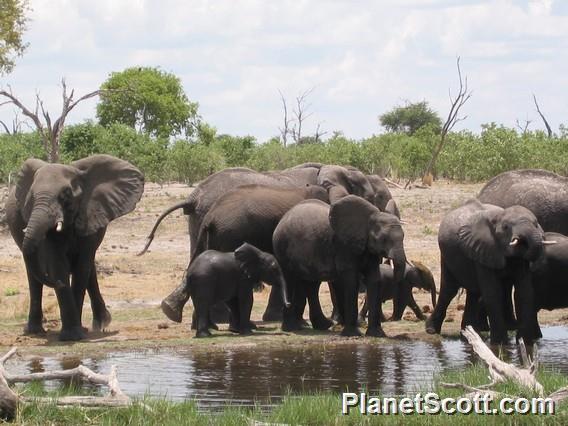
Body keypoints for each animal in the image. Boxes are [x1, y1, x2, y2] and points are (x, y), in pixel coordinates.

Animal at [4, 155, 144, 342]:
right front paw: (72, 335)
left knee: (88, 266)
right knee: (33, 278)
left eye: (65, 195)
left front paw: (75, 335)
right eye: (31, 197)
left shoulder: (89, 214)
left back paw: (99, 324)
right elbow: (58, 265)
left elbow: (81, 268)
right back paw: (34, 332)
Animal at [272, 195, 406, 338]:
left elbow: (374, 279)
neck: (368, 219)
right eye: (383, 239)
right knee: (290, 279)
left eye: (403, 237)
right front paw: (352, 334)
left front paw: (377, 334)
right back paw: (291, 328)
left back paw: (322, 326)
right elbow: (351, 281)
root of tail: (283, 218)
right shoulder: (344, 246)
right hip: (282, 246)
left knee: (311, 284)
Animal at [426, 198, 552, 344]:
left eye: (536, 224)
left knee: (474, 292)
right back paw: (432, 330)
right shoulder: (483, 248)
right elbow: (493, 293)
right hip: (446, 254)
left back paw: (468, 334)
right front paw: (500, 343)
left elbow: (524, 292)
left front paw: (526, 342)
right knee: (449, 289)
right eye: (506, 227)